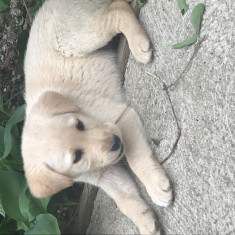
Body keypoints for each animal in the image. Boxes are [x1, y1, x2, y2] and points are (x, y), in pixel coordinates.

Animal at [21, 0, 173, 233]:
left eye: (79, 125)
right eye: (77, 157)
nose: (116, 141)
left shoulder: (121, 117)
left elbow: (137, 159)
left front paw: (156, 187)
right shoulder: (102, 173)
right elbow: (122, 197)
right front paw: (145, 222)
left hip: (74, 38)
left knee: (117, 10)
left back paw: (139, 46)